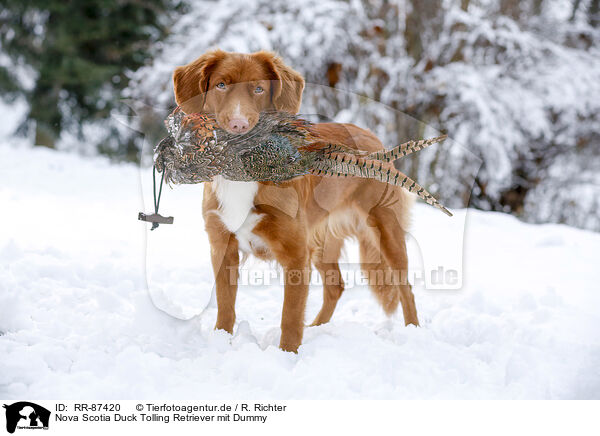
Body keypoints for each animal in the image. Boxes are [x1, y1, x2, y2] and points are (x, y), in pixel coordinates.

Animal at [173, 51, 418, 352]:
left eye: (259, 89)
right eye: (221, 85)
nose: (239, 125)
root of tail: (372, 137)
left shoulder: (296, 254)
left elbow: (290, 316)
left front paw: (287, 355)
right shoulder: (222, 246)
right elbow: (225, 305)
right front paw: (222, 341)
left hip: (386, 232)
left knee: (405, 287)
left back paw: (414, 331)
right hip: (320, 241)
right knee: (336, 286)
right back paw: (317, 329)